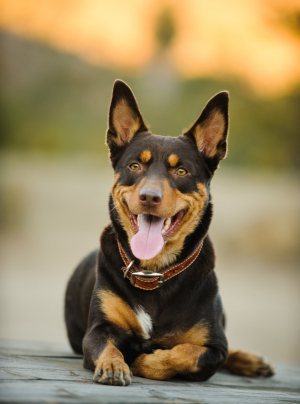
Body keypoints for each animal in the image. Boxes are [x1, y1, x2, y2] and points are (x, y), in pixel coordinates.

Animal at [65, 79, 274, 386]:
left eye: (181, 171)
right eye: (135, 166)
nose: (149, 197)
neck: (153, 272)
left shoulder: (215, 347)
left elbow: (185, 353)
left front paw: (144, 360)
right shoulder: (99, 329)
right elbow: (109, 347)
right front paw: (115, 365)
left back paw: (251, 361)